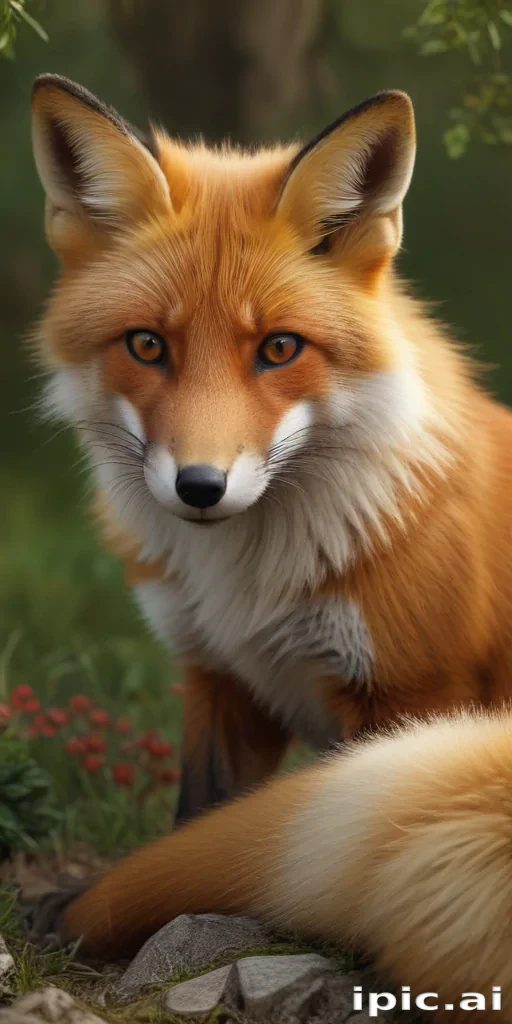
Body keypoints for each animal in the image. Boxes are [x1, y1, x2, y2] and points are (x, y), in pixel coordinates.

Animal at [30, 74, 512, 830]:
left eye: (280, 348)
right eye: (147, 344)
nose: (200, 486)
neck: (244, 591)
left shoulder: (414, 698)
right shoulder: (221, 683)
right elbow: (192, 831)